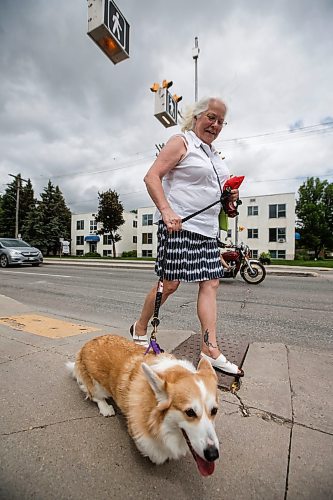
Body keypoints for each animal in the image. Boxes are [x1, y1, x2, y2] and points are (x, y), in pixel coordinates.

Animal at [66, 334, 219, 474]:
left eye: (215, 411)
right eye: (190, 412)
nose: (213, 455)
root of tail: (88, 343)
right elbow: (150, 447)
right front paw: (157, 456)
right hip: (97, 385)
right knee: (94, 395)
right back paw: (106, 408)